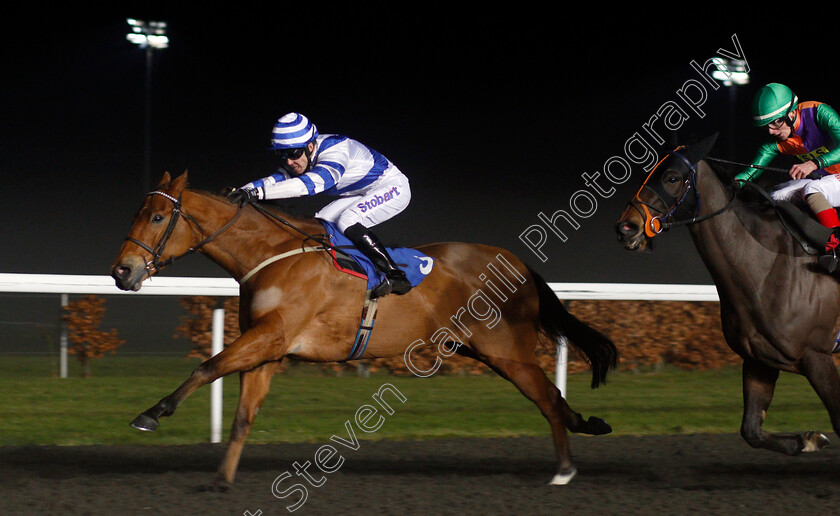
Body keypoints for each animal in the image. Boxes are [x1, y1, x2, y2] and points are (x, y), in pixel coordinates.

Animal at [110, 172, 616, 488]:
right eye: (135, 214)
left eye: (157, 217)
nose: (122, 271)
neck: (270, 254)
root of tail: (518, 265)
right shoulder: (268, 350)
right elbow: (242, 418)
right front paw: (221, 480)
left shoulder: (270, 337)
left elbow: (206, 367)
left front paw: (151, 414)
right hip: (481, 349)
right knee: (554, 398)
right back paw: (586, 427)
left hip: (506, 350)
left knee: (547, 399)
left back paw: (564, 469)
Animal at [616, 135, 840, 458]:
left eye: (671, 177)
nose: (626, 227)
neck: (766, 266)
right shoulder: (761, 359)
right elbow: (751, 431)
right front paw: (809, 440)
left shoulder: (818, 356)